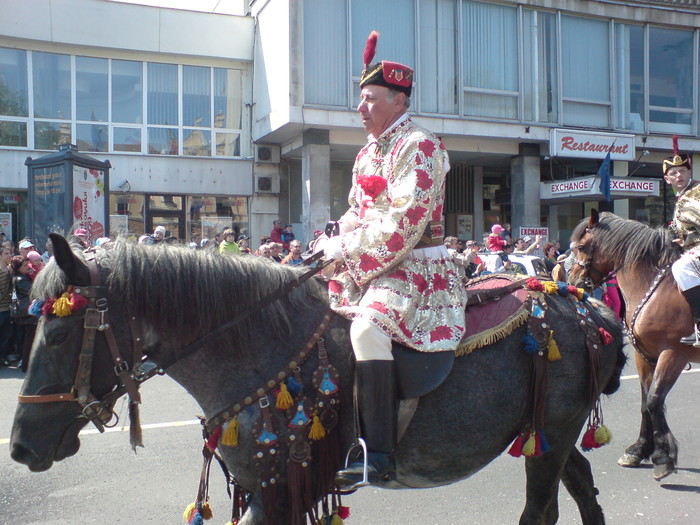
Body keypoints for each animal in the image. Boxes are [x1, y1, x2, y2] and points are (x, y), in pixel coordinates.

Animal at [10, 234, 624, 524]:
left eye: (59, 335)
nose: (19, 447)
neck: (259, 347)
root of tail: (580, 300)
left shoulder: (278, 493)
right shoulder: (268, 492)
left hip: (550, 436)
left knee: (541, 508)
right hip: (549, 434)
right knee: (581, 488)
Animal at [568, 210, 700, 478]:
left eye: (582, 247)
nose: (573, 280)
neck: (656, 287)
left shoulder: (673, 353)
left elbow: (654, 399)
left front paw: (663, 457)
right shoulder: (645, 355)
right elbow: (645, 402)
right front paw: (639, 450)